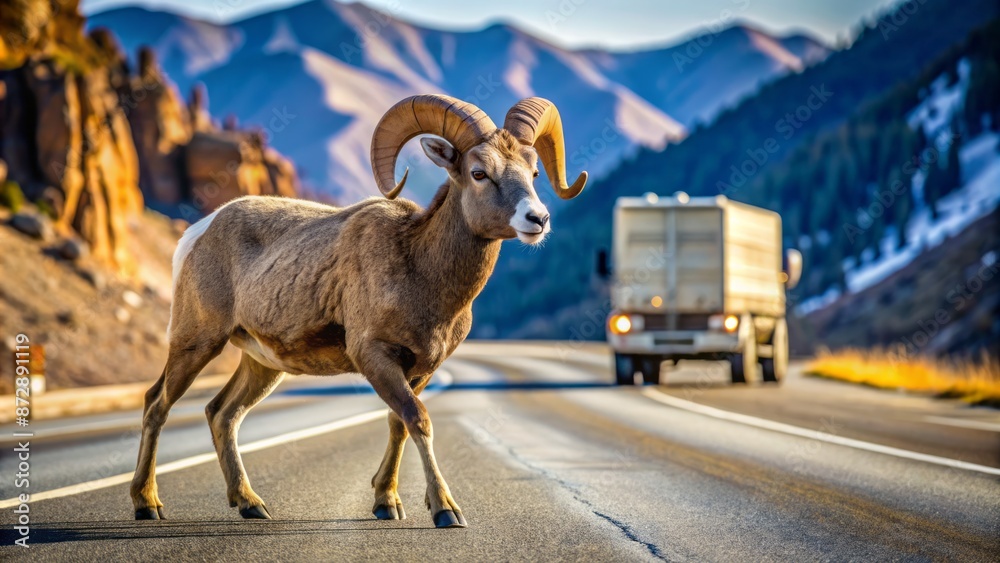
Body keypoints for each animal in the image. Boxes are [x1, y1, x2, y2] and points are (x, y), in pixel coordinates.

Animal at [130, 95, 588, 528]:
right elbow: (418, 420)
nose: (538, 219)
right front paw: (445, 510)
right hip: (196, 342)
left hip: (262, 365)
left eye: (532, 173)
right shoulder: (375, 357)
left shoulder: (421, 369)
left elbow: (397, 423)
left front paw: (387, 503)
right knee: (157, 405)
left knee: (222, 414)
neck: (419, 270)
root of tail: (196, 233)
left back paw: (251, 505)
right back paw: (147, 505)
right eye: (479, 173)